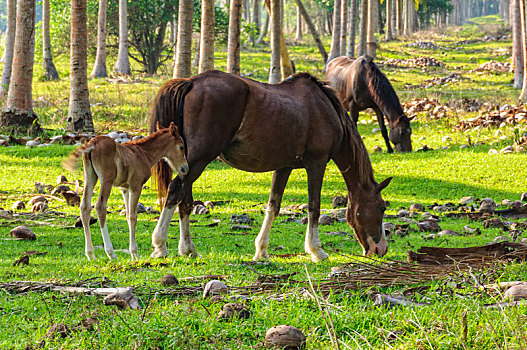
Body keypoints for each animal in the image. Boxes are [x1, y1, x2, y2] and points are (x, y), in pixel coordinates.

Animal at [63, 122, 190, 260]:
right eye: (181, 147)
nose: (185, 168)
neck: (143, 153)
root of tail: (93, 143)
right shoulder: (136, 186)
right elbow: (133, 216)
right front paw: (135, 253)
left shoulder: (125, 189)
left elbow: (128, 216)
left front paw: (132, 255)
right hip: (106, 180)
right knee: (100, 206)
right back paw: (111, 253)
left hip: (90, 176)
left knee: (85, 207)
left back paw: (90, 254)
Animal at [148, 69, 392, 262]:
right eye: (382, 208)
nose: (380, 249)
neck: (325, 109)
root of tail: (192, 81)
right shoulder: (317, 164)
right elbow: (314, 207)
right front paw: (316, 250)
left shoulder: (284, 167)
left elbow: (273, 206)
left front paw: (261, 251)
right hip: (199, 159)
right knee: (175, 191)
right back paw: (160, 245)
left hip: (191, 163)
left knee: (185, 200)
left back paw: (188, 249)